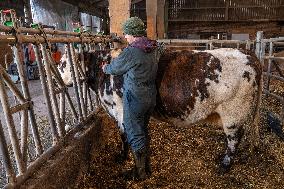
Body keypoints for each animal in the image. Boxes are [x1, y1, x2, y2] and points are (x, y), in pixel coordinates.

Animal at [85, 47, 262, 173]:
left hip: (233, 113)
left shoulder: (121, 111)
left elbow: (125, 137)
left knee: (234, 139)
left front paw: (123, 157)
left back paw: (225, 165)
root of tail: (248, 54)